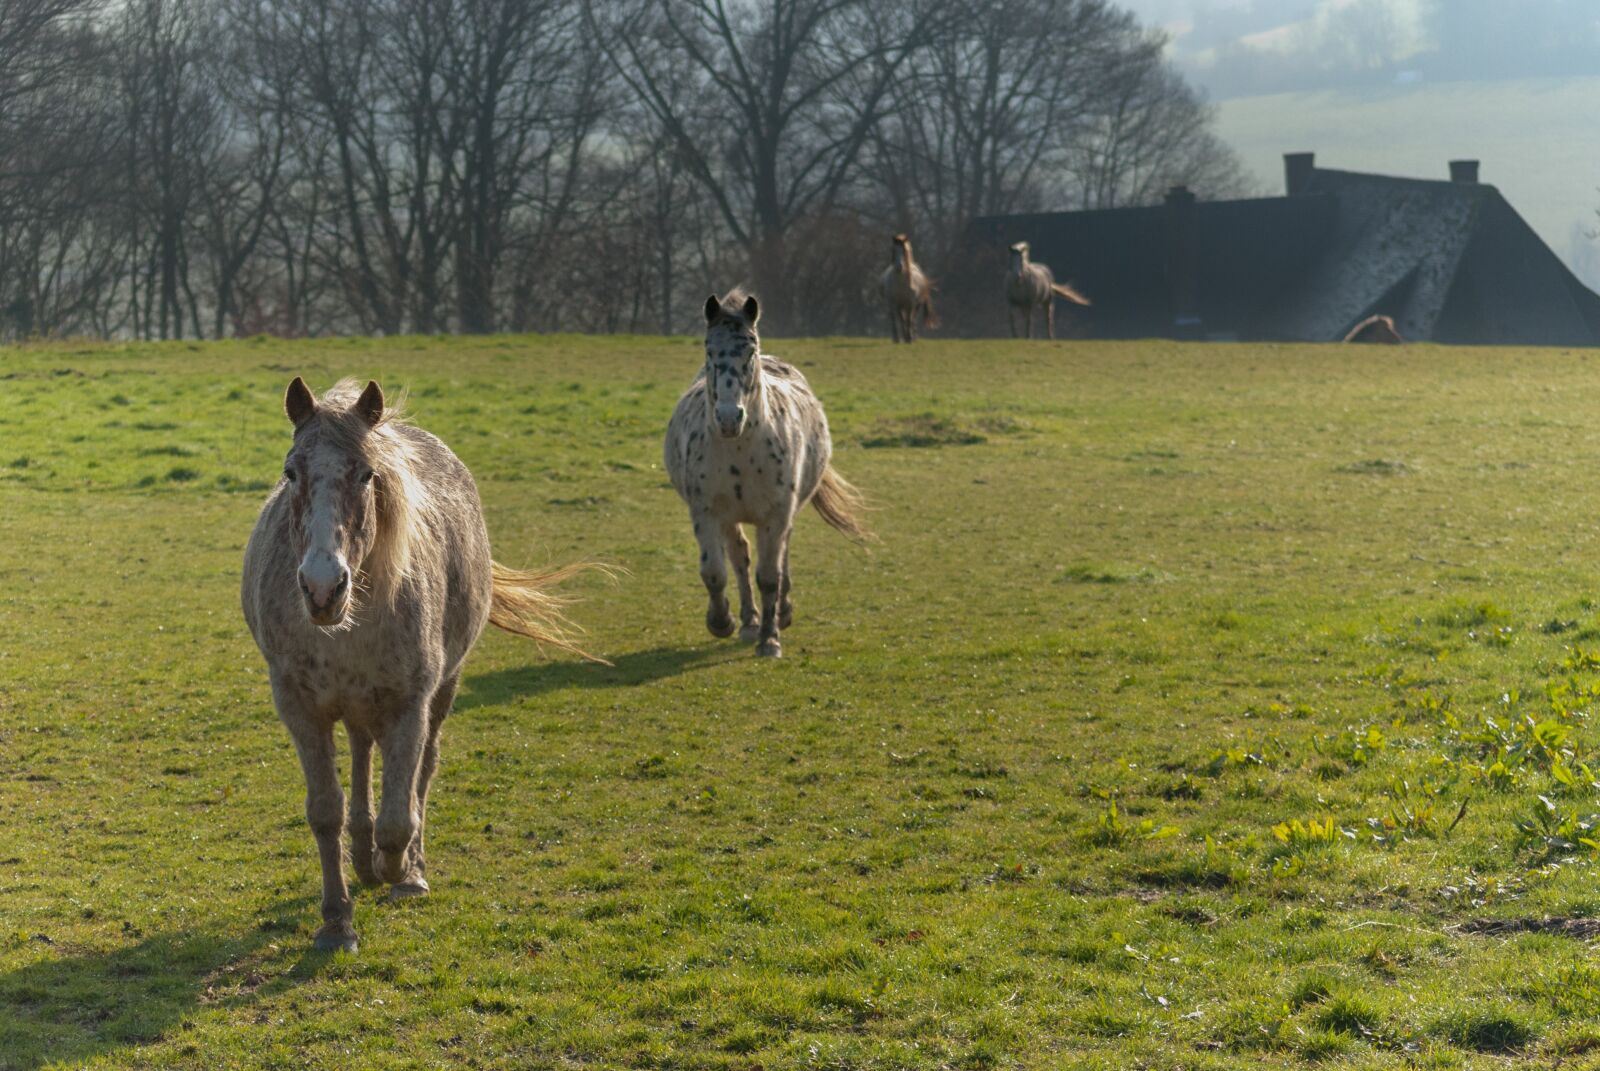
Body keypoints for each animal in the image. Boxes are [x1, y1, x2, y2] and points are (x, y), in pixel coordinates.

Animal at [241, 377, 599, 952]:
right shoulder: (299, 706)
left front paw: (399, 869)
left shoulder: (410, 703)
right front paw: (336, 920)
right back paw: (361, 857)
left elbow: (399, 814)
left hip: (440, 690)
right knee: (362, 757)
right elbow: (325, 812)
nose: (322, 587)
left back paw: (405, 867)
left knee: (421, 772)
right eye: (291, 471)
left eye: (367, 474)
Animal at [664, 291, 870, 657]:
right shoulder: (707, 512)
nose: (729, 418)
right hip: (731, 517)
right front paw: (722, 622)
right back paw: (748, 622)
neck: (740, 452)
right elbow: (715, 572)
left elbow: (770, 576)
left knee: (779, 556)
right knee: (739, 558)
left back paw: (780, 614)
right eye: (708, 349)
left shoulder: (777, 513)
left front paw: (770, 639)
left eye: (750, 350)